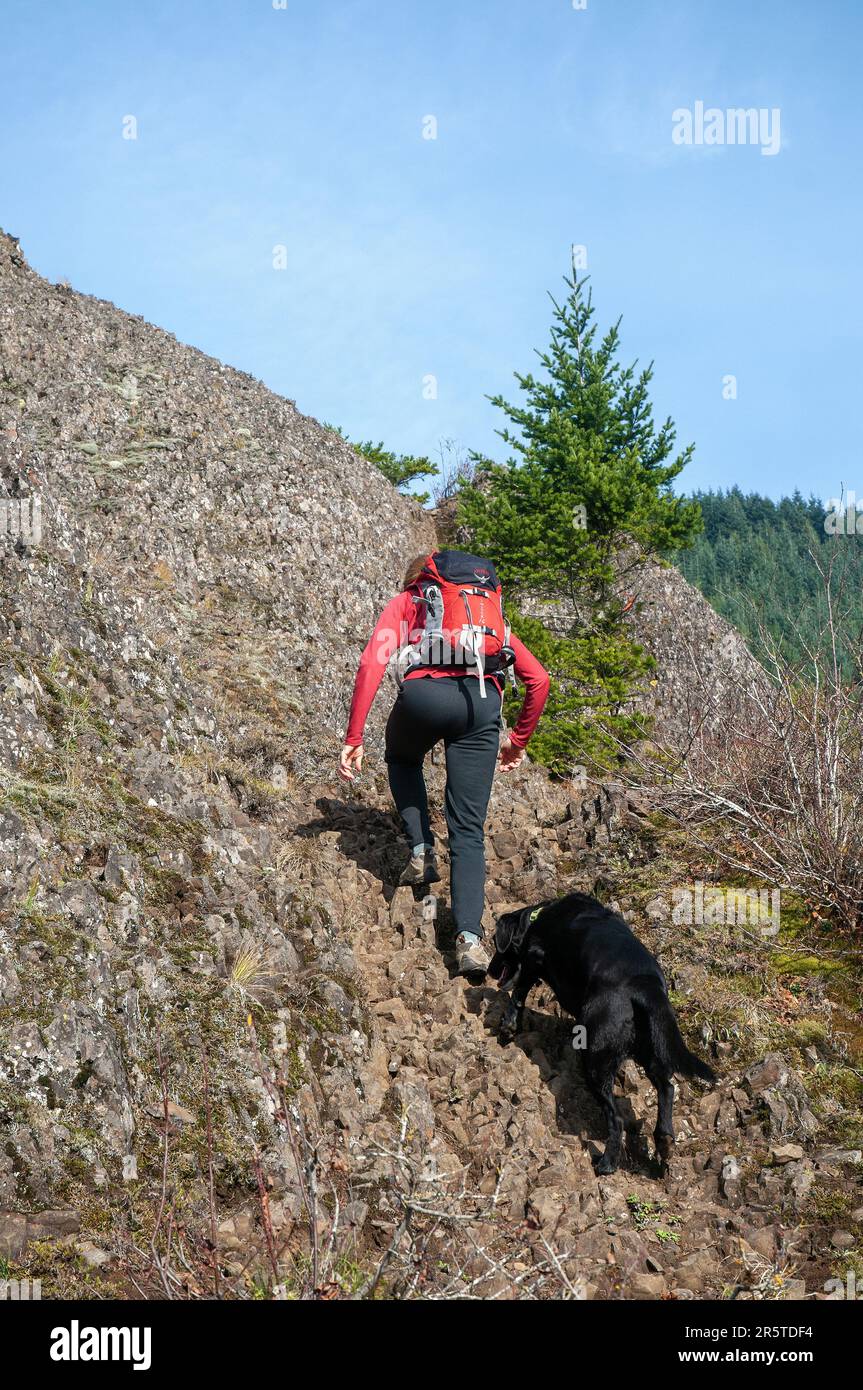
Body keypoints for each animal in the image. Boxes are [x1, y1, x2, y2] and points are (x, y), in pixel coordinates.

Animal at [489, 889, 717, 1173]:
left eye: (496, 944)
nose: (489, 970)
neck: (538, 917)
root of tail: (645, 985)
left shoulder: (535, 959)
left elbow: (518, 993)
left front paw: (508, 1026)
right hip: (648, 1050)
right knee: (667, 1087)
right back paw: (664, 1141)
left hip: (596, 1058)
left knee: (616, 1118)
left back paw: (607, 1162)